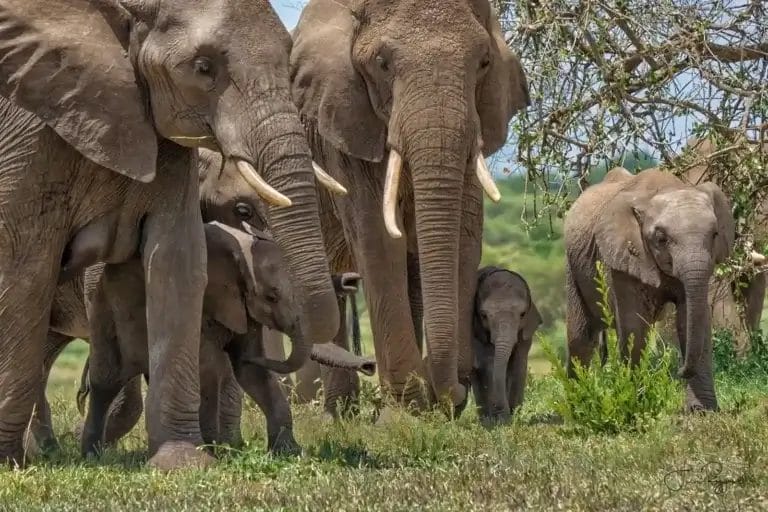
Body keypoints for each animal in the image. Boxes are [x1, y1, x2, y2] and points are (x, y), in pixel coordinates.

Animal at [287, 0, 530, 415]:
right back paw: (338, 414)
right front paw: (406, 412)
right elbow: (378, 239)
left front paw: (435, 404)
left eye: (483, 62)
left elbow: (464, 235)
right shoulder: (348, 123)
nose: (456, 389)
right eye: (381, 63)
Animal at [470, 266, 542, 426]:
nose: (499, 408)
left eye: (522, 314)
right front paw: (501, 421)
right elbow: (489, 364)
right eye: (484, 315)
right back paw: (485, 419)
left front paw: (513, 416)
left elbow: (519, 365)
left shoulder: (525, 332)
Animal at [565, 167, 735, 412]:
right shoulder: (620, 259)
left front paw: (701, 412)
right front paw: (634, 405)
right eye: (661, 239)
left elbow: (693, 320)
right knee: (580, 337)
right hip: (573, 266)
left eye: (714, 235)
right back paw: (578, 406)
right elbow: (634, 326)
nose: (678, 371)